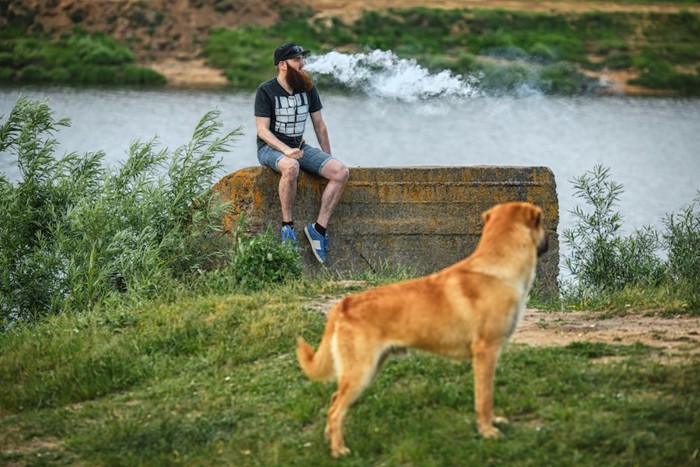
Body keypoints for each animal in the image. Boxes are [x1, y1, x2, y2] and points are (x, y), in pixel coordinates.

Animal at [296, 201, 548, 458]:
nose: (547, 242)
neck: (496, 268)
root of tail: (344, 304)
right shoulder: (485, 352)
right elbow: (484, 398)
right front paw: (487, 431)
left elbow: (487, 395)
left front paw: (493, 423)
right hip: (361, 372)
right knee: (335, 410)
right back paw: (339, 450)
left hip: (367, 369)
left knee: (334, 401)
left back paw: (330, 439)